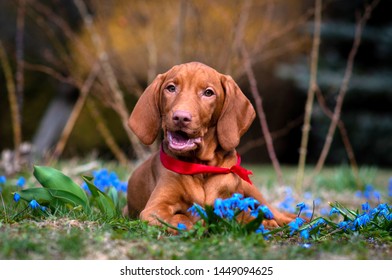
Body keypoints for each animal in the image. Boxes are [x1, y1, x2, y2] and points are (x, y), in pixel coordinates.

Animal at [125, 61, 294, 230]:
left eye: (208, 93)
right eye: (171, 88)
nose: (180, 117)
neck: (202, 166)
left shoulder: (233, 203)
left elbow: (244, 216)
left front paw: (261, 222)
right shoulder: (154, 208)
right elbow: (180, 218)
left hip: (252, 190)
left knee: (276, 213)